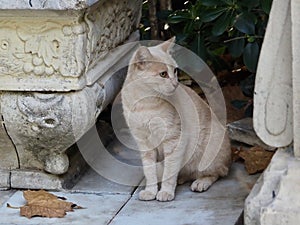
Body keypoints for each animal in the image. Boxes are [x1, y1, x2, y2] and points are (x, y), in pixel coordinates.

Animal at [120, 38, 231, 202]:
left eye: (175, 71)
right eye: (163, 74)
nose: (175, 83)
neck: (145, 104)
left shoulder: (173, 141)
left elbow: (169, 171)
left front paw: (166, 192)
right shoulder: (144, 144)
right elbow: (150, 172)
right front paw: (151, 191)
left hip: (209, 155)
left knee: (217, 172)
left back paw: (200, 182)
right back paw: (181, 179)